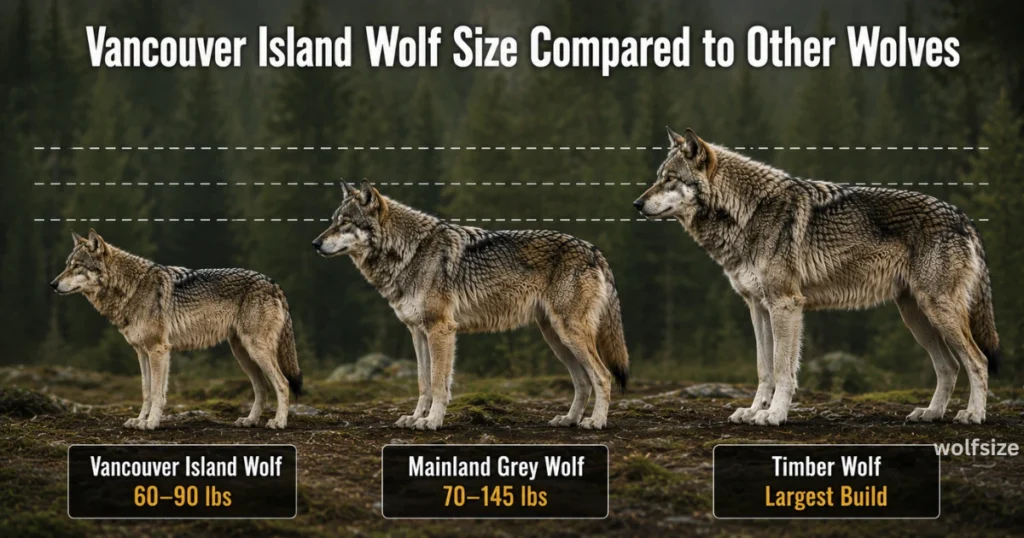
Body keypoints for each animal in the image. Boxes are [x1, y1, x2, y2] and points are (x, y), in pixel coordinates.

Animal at [51, 230, 302, 430]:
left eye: (77, 266)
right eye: (66, 265)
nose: (53, 284)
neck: (131, 287)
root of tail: (273, 283)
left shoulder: (158, 349)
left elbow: (157, 393)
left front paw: (151, 423)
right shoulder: (142, 352)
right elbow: (146, 391)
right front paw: (139, 420)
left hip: (256, 350)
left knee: (282, 383)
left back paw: (279, 422)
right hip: (242, 354)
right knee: (262, 388)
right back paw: (249, 421)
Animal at [312, 181, 629, 430]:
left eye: (345, 223)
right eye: (333, 220)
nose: (315, 243)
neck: (408, 251)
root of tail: (594, 250)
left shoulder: (441, 329)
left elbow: (439, 383)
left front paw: (432, 422)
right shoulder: (417, 332)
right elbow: (423, 383)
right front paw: (415, 418)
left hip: (569, 334)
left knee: (602, 376)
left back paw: (596, 422)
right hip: (556, 339)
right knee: (583, 381)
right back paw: (569, 419)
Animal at [633, 128, 999, 426]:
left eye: (670, 179)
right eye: (658, 177)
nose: (636, 203)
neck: (746, 213)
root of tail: (964, 219)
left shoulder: (786, 305)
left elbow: (783, 369)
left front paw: (774, 415)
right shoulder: (758, 308)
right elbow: (764, 369)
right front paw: (753, 411)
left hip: (937, 311)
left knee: (977, 361)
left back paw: (973, 415)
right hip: (916, 317)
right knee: (949, 366)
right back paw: (931, 413)